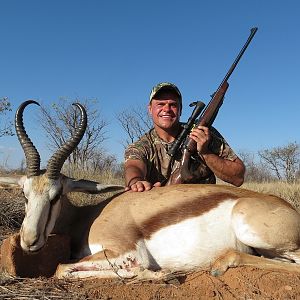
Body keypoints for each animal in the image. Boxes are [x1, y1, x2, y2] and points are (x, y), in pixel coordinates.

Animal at [0, 101, 300, 282]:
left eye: (56, 195)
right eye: (25, 194)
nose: (29, 241)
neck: (89, 217)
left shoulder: (127, 252)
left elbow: (62, 268)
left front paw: (164, 274)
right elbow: (64, 269)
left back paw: (217, 264)